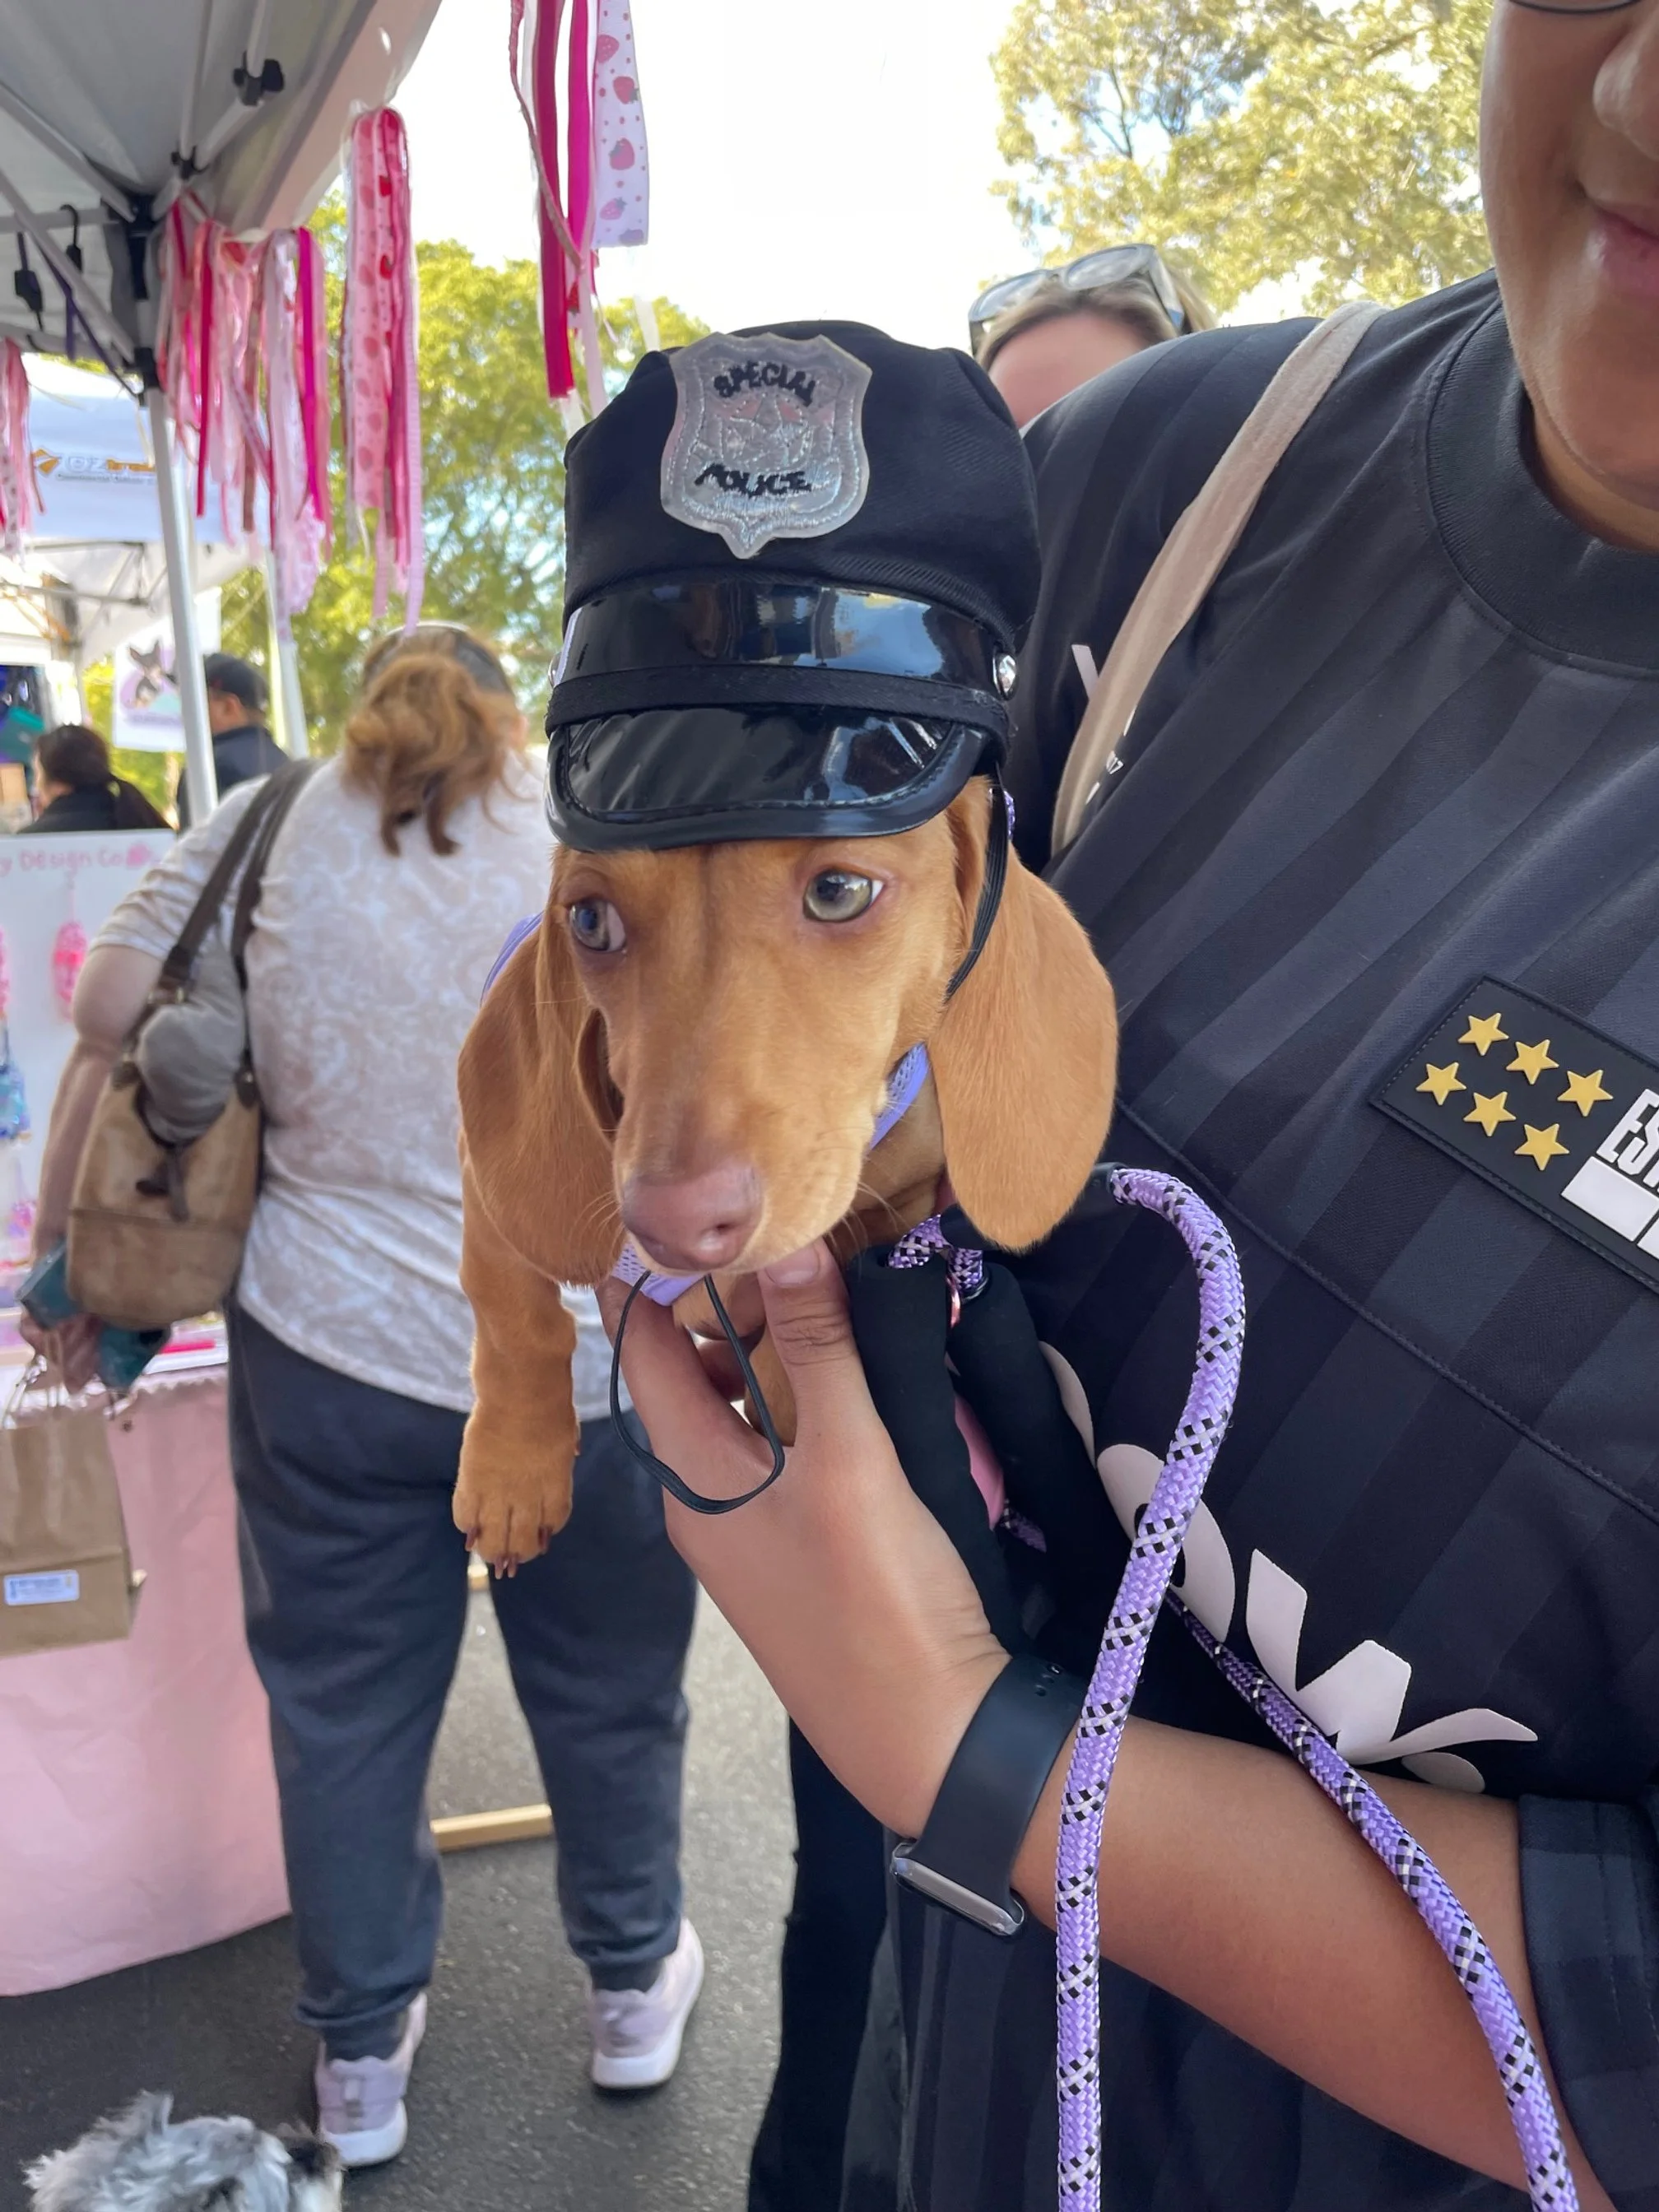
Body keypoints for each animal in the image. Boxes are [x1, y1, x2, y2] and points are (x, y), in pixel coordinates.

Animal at [453, 775, 1117, 1570]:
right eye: (589, 920)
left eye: (838, 892)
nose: (671, 1225)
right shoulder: (487, 1192)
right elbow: (516, 1322)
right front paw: (513, 1473)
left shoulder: (900, 1208)